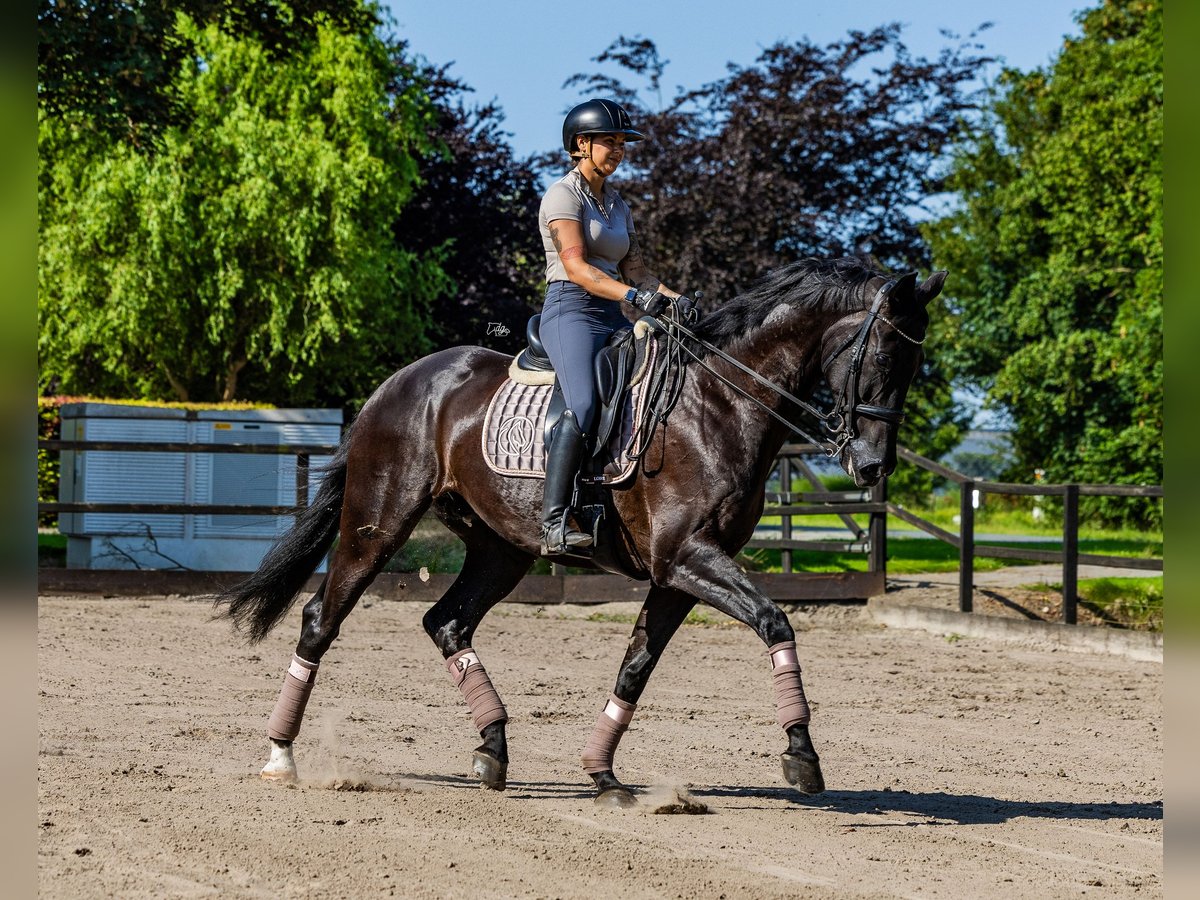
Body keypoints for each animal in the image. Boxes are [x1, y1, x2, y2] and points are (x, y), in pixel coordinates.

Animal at [218, 255, 945, 811]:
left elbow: (635, 668)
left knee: (447, 622)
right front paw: (801, 753)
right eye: (883, 358)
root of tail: (396, 384)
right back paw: (281, 755)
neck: (721, 402)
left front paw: (603, 775)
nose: (872, 466)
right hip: (379, 523)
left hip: (501, 548)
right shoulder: (687, 558)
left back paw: (493, 749)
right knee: (321, 618)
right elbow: (775, 622)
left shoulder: (677, 575)